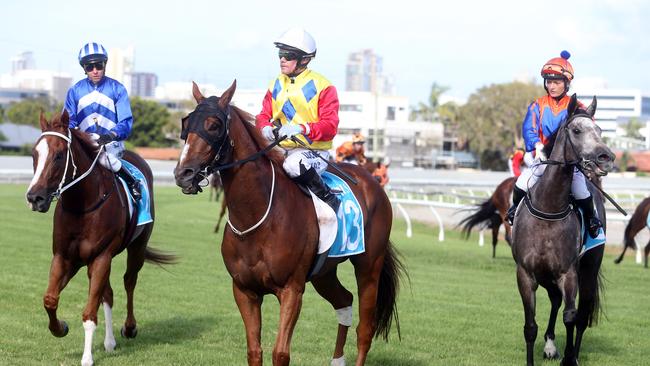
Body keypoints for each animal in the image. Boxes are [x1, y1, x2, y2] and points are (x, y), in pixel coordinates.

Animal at [25, 110, 175, 366]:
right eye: (35, 154)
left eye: (59, 155)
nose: (35, 197)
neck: (82, 207)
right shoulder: (65, 257)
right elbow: (50, 299)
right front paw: (60, 328)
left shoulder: (100, 257)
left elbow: (89, 312)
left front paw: (87, 357)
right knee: (109, 294)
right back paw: (110, 342)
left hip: (136, 247)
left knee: (129, 281)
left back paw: (129, 328)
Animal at [175, 82, 402, 366]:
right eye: (186, 122)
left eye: (214, 125)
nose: (184, 174)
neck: (258, 218)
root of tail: (373, 183)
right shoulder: (244, 290)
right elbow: (254, 351)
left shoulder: (291, 290)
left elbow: (280, 353)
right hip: (324, 273)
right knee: (344, 301)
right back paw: (337, 359)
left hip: (369, 266)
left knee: (365, 330)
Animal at [508, 95, 612, 366]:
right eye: (576, 130)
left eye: (599, 130)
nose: (606, 157)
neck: (549, 206)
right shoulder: (526, 274)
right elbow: (530, 326)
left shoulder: (569, 273)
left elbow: (571, 316)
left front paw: (569, 358)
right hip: (546, 275)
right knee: (555, 300)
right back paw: (550, 346)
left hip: (589, 270)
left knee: (582, 314)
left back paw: (570, 352)